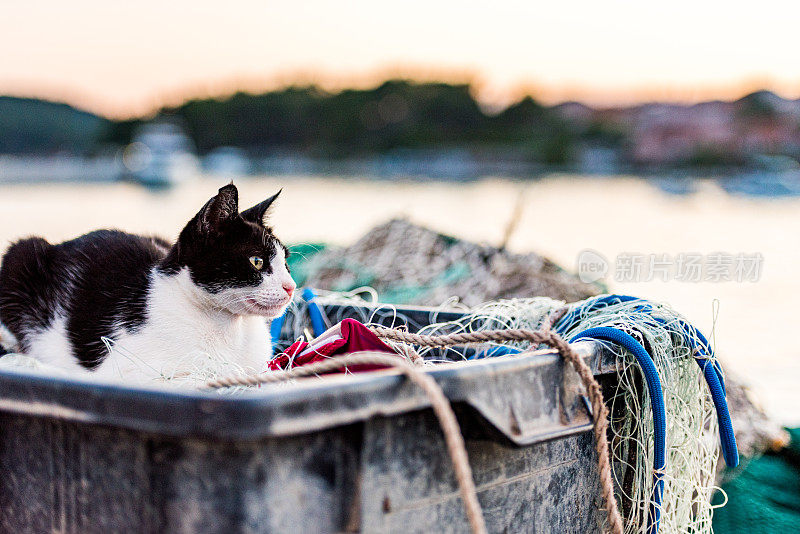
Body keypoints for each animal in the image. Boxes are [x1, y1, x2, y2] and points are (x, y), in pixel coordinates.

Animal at [0, 186, 296, 384]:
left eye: (285, 262)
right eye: (257, 261)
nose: (291, 287)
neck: (231, 328)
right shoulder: (127, 371)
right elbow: (197, 377)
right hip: (21, 253)